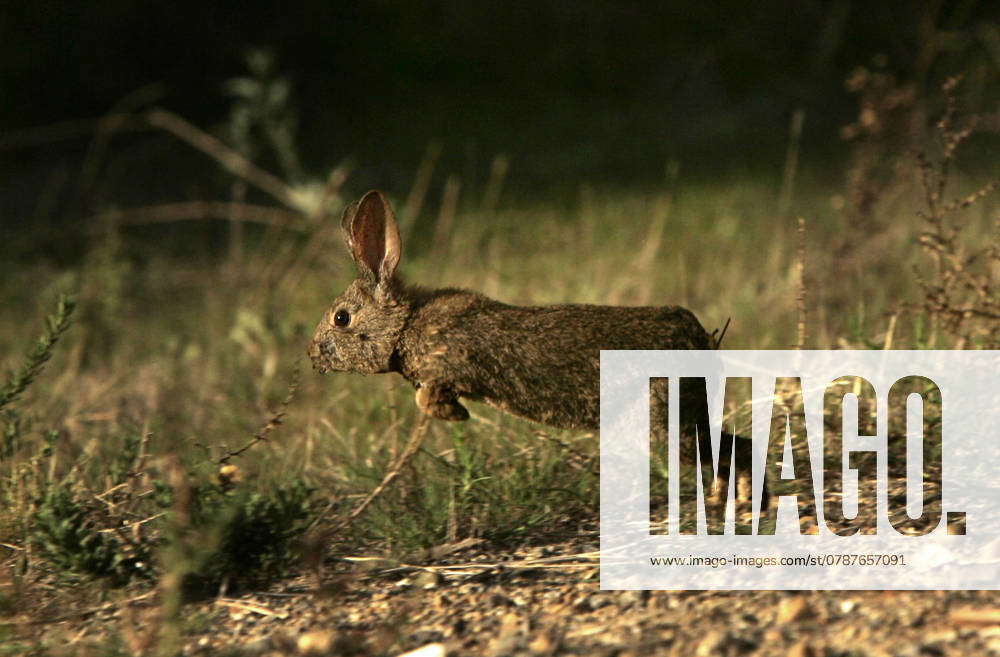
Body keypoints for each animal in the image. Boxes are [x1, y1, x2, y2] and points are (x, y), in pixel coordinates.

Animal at [308, 190, 767, 508]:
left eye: (342, 319)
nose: (313, 356)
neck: (405, 324)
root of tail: (701, 339)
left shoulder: (448, 365)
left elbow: (429, 396)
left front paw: (455, 415)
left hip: (667, 417)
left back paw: (744, 501)